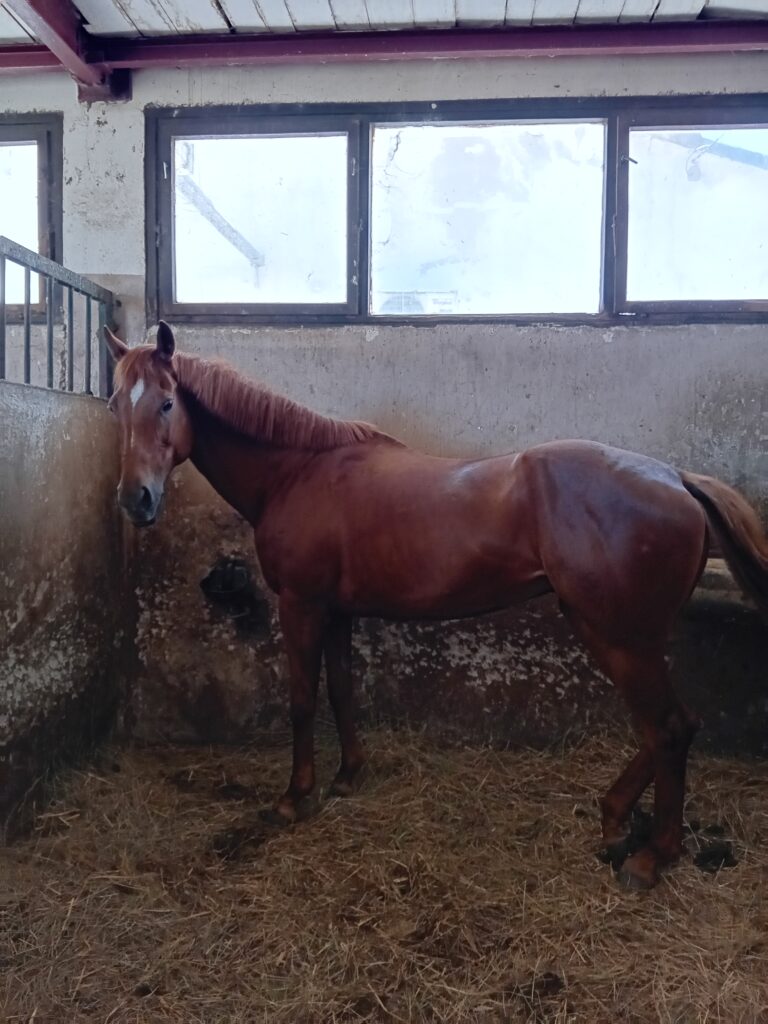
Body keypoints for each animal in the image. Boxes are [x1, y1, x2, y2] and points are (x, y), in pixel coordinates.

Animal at [103, 321, 768, 890]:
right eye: (116, 405)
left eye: (166, 403)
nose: (136, 500)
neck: (299, 472)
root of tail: (676, 479)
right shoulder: (337, 611)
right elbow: (341, 690)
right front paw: (347, 776)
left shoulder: (302, 606)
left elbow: (301, 701)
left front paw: (295, 797)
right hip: (619, 634)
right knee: (665, 729)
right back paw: (614, 818)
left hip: (618, 636)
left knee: (669, 728)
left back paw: (653, 856)